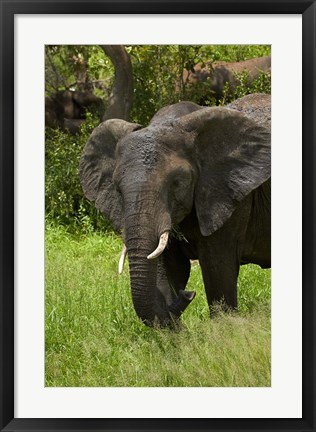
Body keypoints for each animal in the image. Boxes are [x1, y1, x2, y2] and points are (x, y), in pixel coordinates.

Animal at [78, 92, 270, 328]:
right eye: (117, 189)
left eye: (177, 183)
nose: (187, 293)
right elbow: (166, 267)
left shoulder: (228, 192)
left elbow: (218, 270)